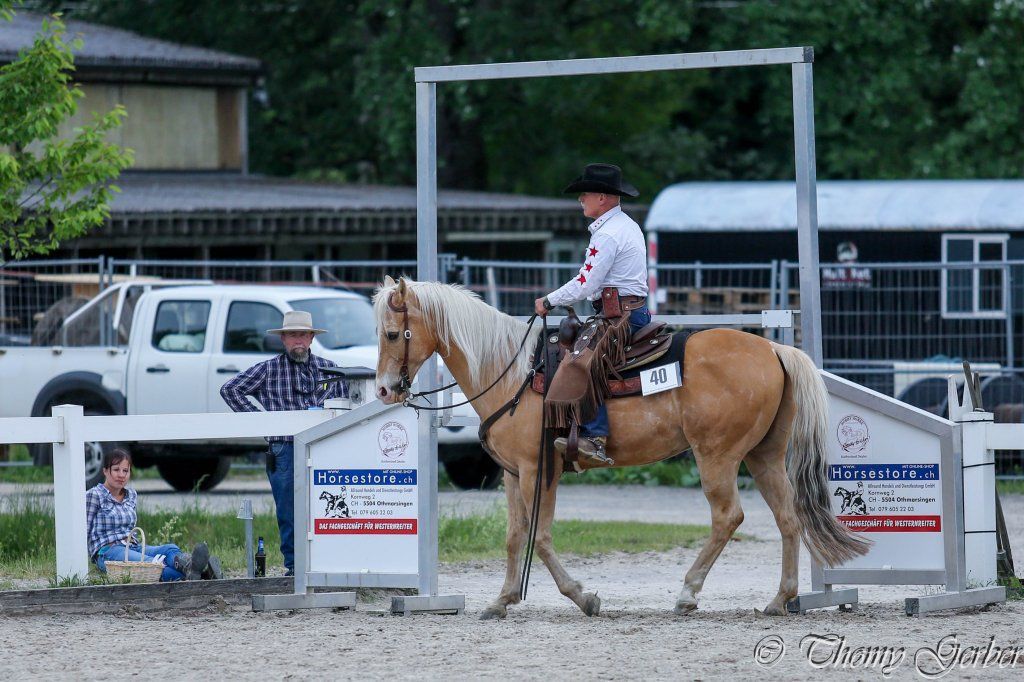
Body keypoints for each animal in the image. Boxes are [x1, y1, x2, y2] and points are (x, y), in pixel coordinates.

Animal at [373, 276, 869, 618]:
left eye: (393, 334)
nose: (383, 389)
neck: (512, 373)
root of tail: (773, 350)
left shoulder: (539, 471)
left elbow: (541, 537)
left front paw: (584, 597)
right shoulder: (514, 474)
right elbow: (515, 536)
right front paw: (502, 600)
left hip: (718, 456)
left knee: (729, 516)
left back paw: (687, 593)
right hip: (763, 456)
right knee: (788, 519)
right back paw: (780, 599)